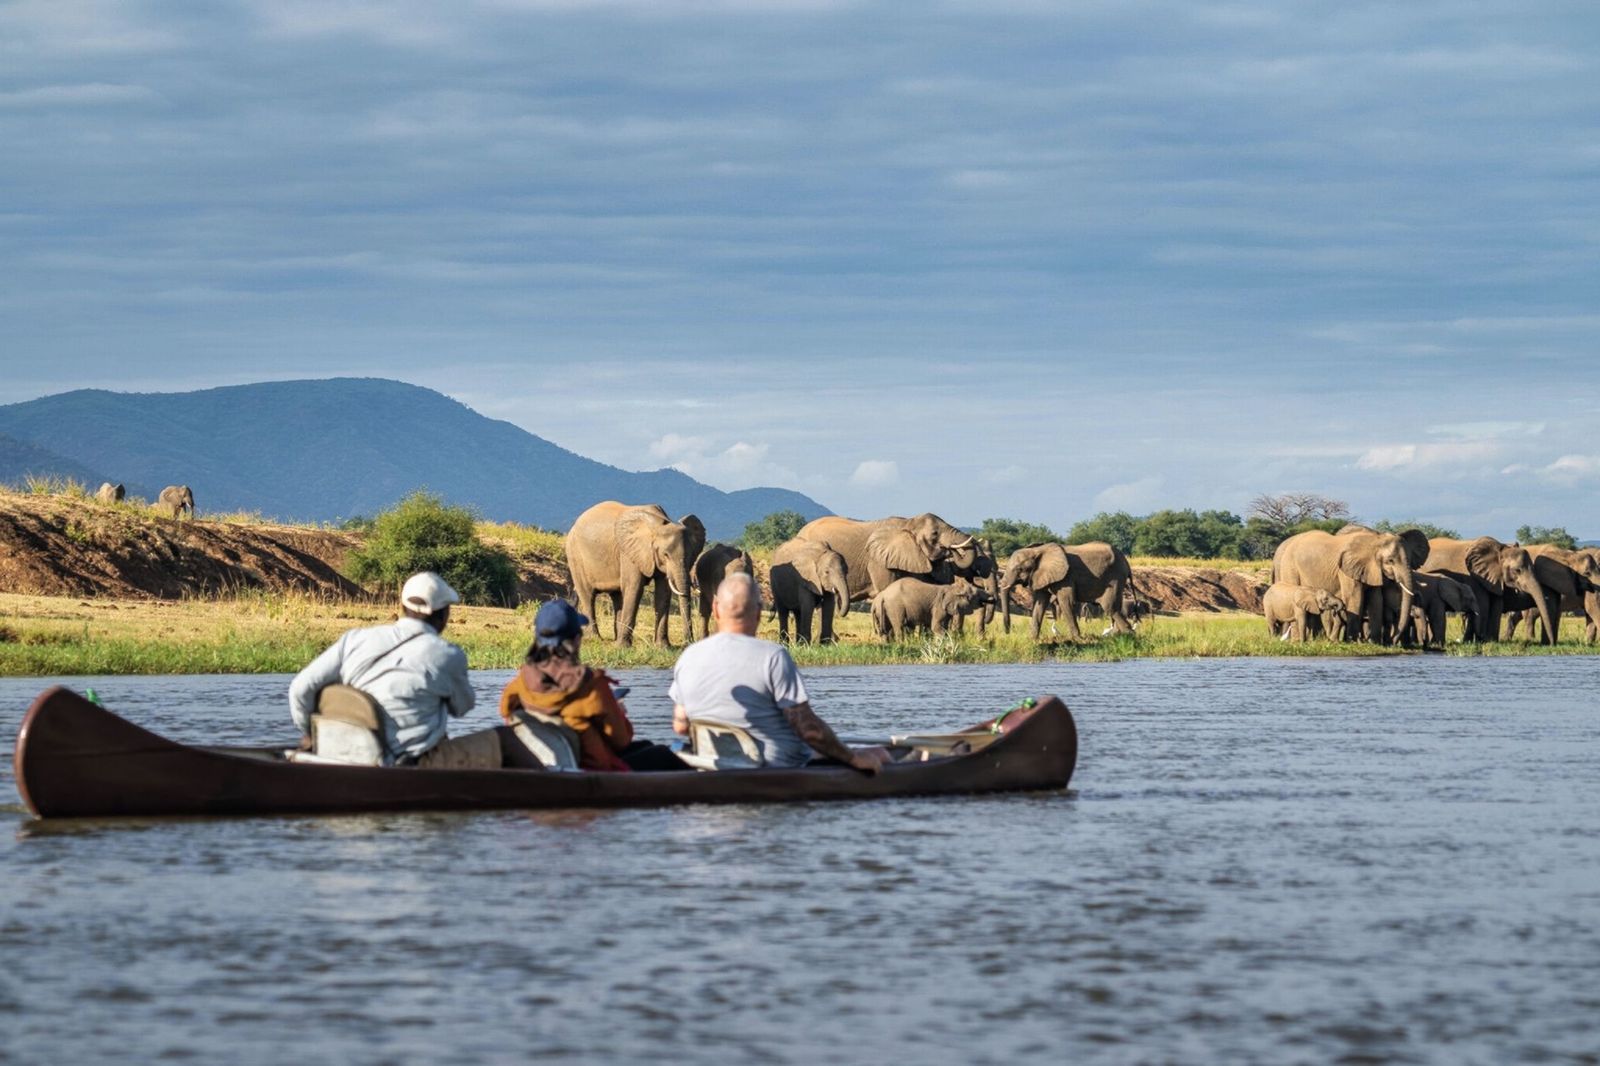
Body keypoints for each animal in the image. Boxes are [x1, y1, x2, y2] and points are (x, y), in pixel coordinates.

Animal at [565, 501, 706, 648]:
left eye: (691, 555)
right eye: (665, 554)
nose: (688, 642)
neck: (657, 525)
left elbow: (664, 592)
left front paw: (663, 647)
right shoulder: (629, 552)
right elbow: (635, 587)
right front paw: (623, 648)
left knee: (617, 596)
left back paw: (615, 638)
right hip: (575, 555)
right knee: (588, 596)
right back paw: (595, 639)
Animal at [998, 541, 1134, 640]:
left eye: (1019, 569)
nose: (1008, 632)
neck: (1037, 550)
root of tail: (1126, 562)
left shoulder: (1066, 577)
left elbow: (1066, 601)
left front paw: (1077, 639)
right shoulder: (1041, 576)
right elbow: (1039, 604)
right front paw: (1032, 639)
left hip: (1114, 578)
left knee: (1110, 607)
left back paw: (1129, 634)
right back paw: (1119, 635)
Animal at [1273, 528, 1425, 645]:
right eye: (1390, 561)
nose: (1392, 642)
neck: (1375, 540)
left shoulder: (1372, 570)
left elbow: (1376, 599)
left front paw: (1375, 644)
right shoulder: (1346, 570)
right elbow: (1354, 597)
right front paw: (1352, 642)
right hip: (1289, 566)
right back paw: (1297, 641)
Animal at [1421, 537, 1553, 643]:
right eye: (1517, 570)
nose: (1551, 644)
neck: (1500, 550)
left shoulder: (1495, 578)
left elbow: (1496, 605)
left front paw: (1491, 641)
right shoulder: (1473, 576)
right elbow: (1482, 604)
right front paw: (1480, 641)